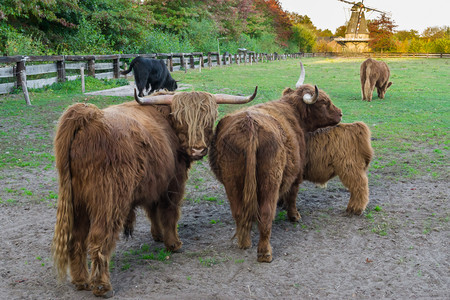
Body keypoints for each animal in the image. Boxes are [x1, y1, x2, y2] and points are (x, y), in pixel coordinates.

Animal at [51, 87, 256, 298]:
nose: (198, 149)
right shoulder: (173, 184)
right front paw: (173, 244)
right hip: (108, 202)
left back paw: (80, 280)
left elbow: (153, 212)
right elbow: (169, 214)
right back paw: (102, 286)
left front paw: (158, 235)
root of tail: (87, 116)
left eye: (209, 119)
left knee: (76, 240)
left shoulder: (154, 185)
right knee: (98, 239)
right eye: (182, 119)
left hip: (77, 203)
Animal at [209, 63, 342, 262]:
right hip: (269, 179)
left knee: (239, 212)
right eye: (324, 102)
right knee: (265, 214)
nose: (340, 113)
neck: (294, 114)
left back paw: (244, 243)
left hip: (232, 181)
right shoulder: (297, 173)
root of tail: (250, 125)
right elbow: (292, 195)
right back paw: (265, 253)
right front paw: (294, 215)